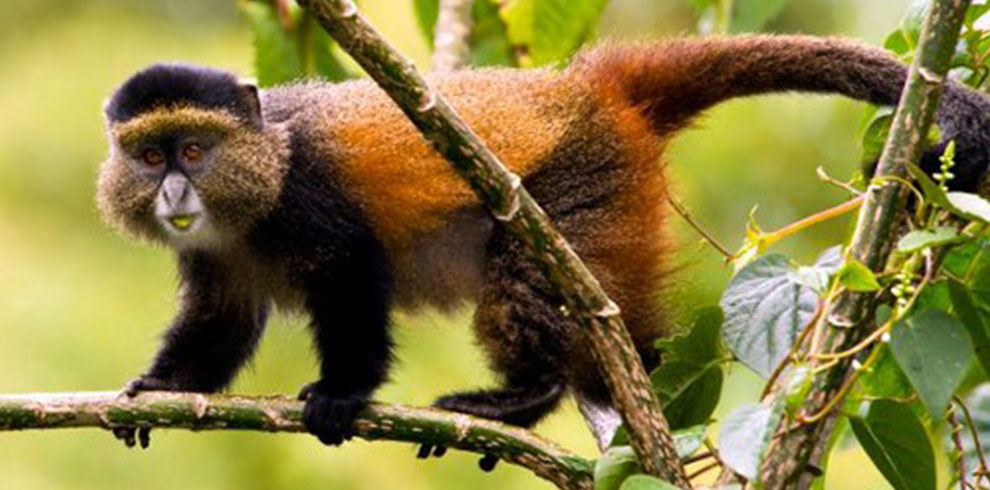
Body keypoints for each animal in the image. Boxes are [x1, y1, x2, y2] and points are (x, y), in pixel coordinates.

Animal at [98, 35, 990, 464]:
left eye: (194, 152)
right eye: (149, 156)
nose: (174, 195)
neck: (260, 171)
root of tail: (587, 88)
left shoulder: (312, 199)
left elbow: (355, 281)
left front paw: (342, 395)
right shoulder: (216, 258)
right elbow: (221, 319)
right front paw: (162, 387)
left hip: (579, 188)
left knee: (524, 279)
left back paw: (523, 398)